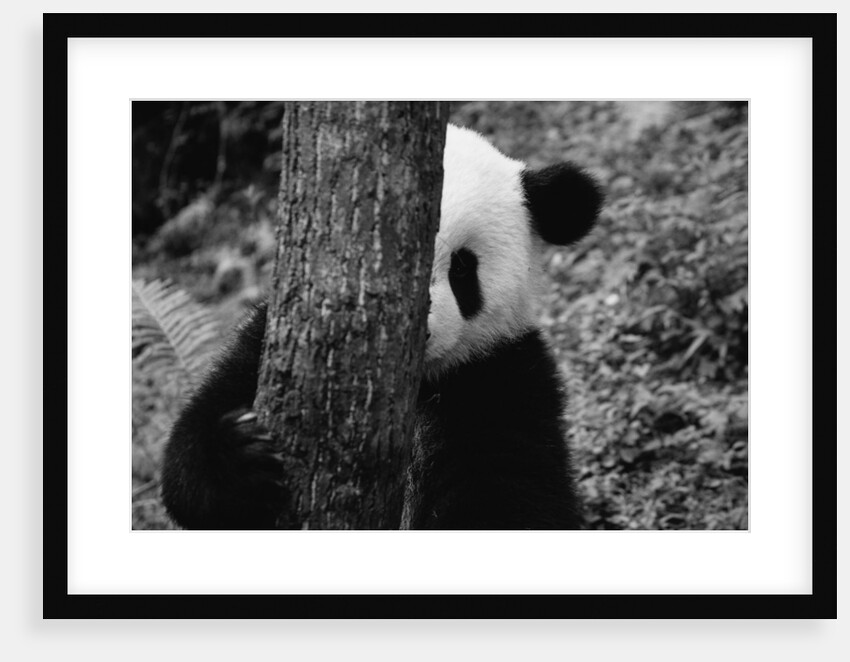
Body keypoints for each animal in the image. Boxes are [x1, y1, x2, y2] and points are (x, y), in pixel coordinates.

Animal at [161, 124, 602, 530]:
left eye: (462, 267)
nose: (420, 333)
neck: (421, 385)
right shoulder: (269, 340)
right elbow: (195, 447)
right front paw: (242, 457)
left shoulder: (504, 376)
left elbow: (515, 494)